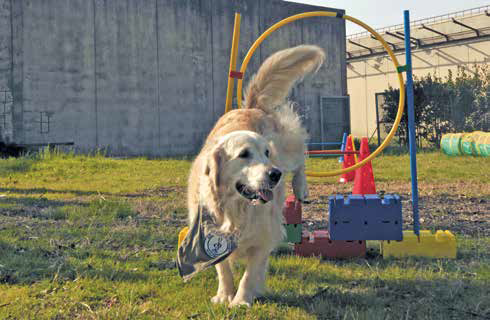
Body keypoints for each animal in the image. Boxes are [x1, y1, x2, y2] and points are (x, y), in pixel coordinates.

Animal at [188, 45, 326, 308]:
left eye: (266, 153)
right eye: (244, 154)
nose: (275, 174)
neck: (239, 208)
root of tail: (250, 106)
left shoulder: (266, 233)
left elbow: (251, 272)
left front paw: (241, 300)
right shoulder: (210, 230)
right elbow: (222, 267)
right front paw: (224, 294)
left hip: (287, 148)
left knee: (301, 153)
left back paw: (301, 187)